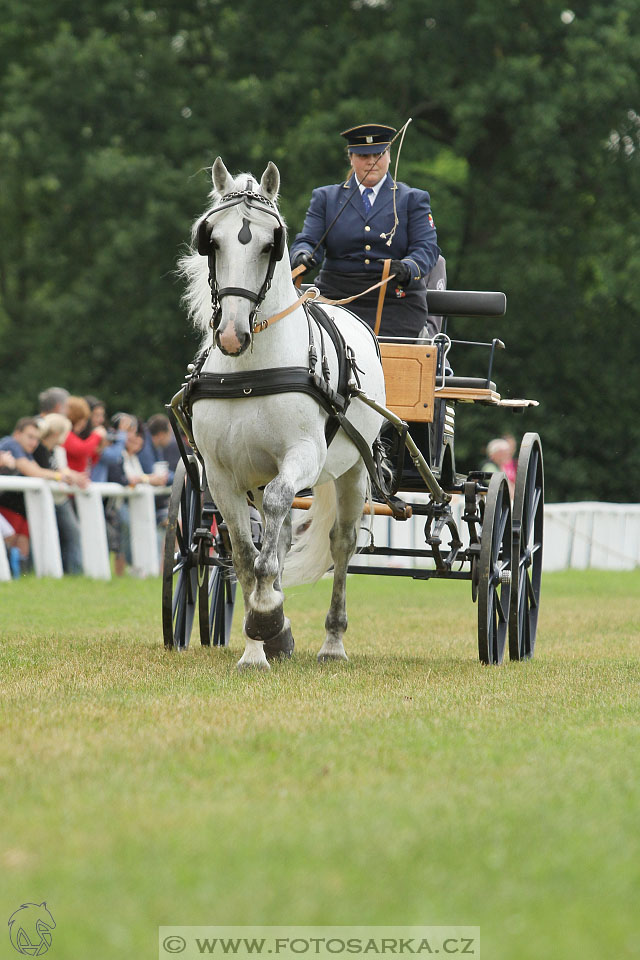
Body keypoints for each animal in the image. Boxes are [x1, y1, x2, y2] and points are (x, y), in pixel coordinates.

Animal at [179, 158, 384, 668]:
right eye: (211, 241)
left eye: (271, 244)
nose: (231, 335)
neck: (249, 371)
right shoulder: (221, 475)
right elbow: (245, 556)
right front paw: (260, 639)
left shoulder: (301, 456)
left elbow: (271, 527)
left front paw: (267, 614)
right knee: (281, 533)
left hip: (353, 469)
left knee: (341, 543)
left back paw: (333, 643)